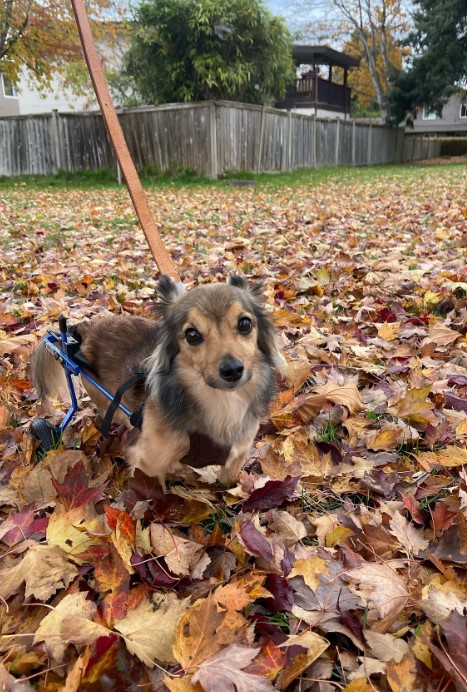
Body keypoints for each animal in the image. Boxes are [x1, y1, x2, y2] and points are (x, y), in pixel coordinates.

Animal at [32, 276, 278, 486]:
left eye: (245, 324)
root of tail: (85, 328)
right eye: (192, 335)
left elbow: (227, 483)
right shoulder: (148, 463)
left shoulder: (235, 458)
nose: (233, 370)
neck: (221, 401)